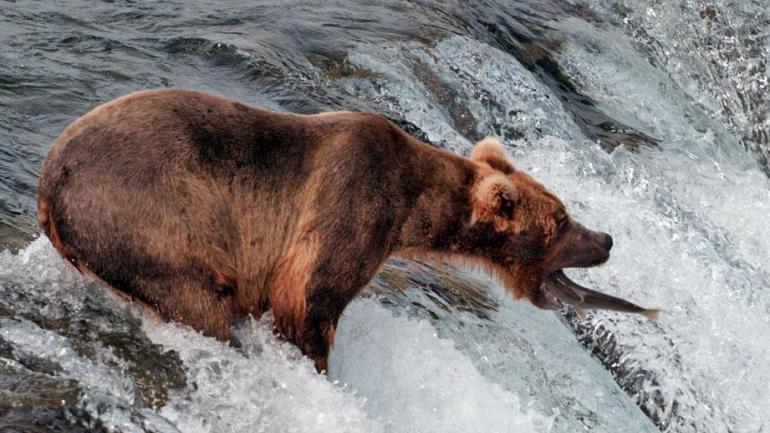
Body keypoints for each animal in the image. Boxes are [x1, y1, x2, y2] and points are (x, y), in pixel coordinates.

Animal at [37, 88, 615, 372]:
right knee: (200, 299)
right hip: (148, 215)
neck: (412, 205)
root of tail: (47, 187)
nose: (607, 240)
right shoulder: (351, 198)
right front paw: (315, 362)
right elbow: (308, 297)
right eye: (562, 220)